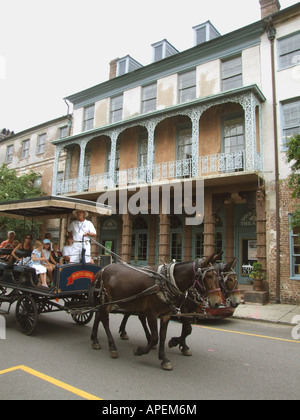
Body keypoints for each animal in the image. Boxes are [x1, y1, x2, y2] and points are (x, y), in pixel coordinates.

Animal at [90, 254, 221, 370]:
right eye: (209, 276)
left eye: (218, 277)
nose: (218, 302)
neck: (167, 282)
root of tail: (102, 270)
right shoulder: (152, 313)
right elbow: (155, 338)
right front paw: (140, 350)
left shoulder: (166, 314)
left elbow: (163, 336)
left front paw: (164, 358)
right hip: (106, 302)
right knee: (105, 320)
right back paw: (112, 346)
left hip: (108, 302)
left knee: (99, 316)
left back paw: (95, 339)